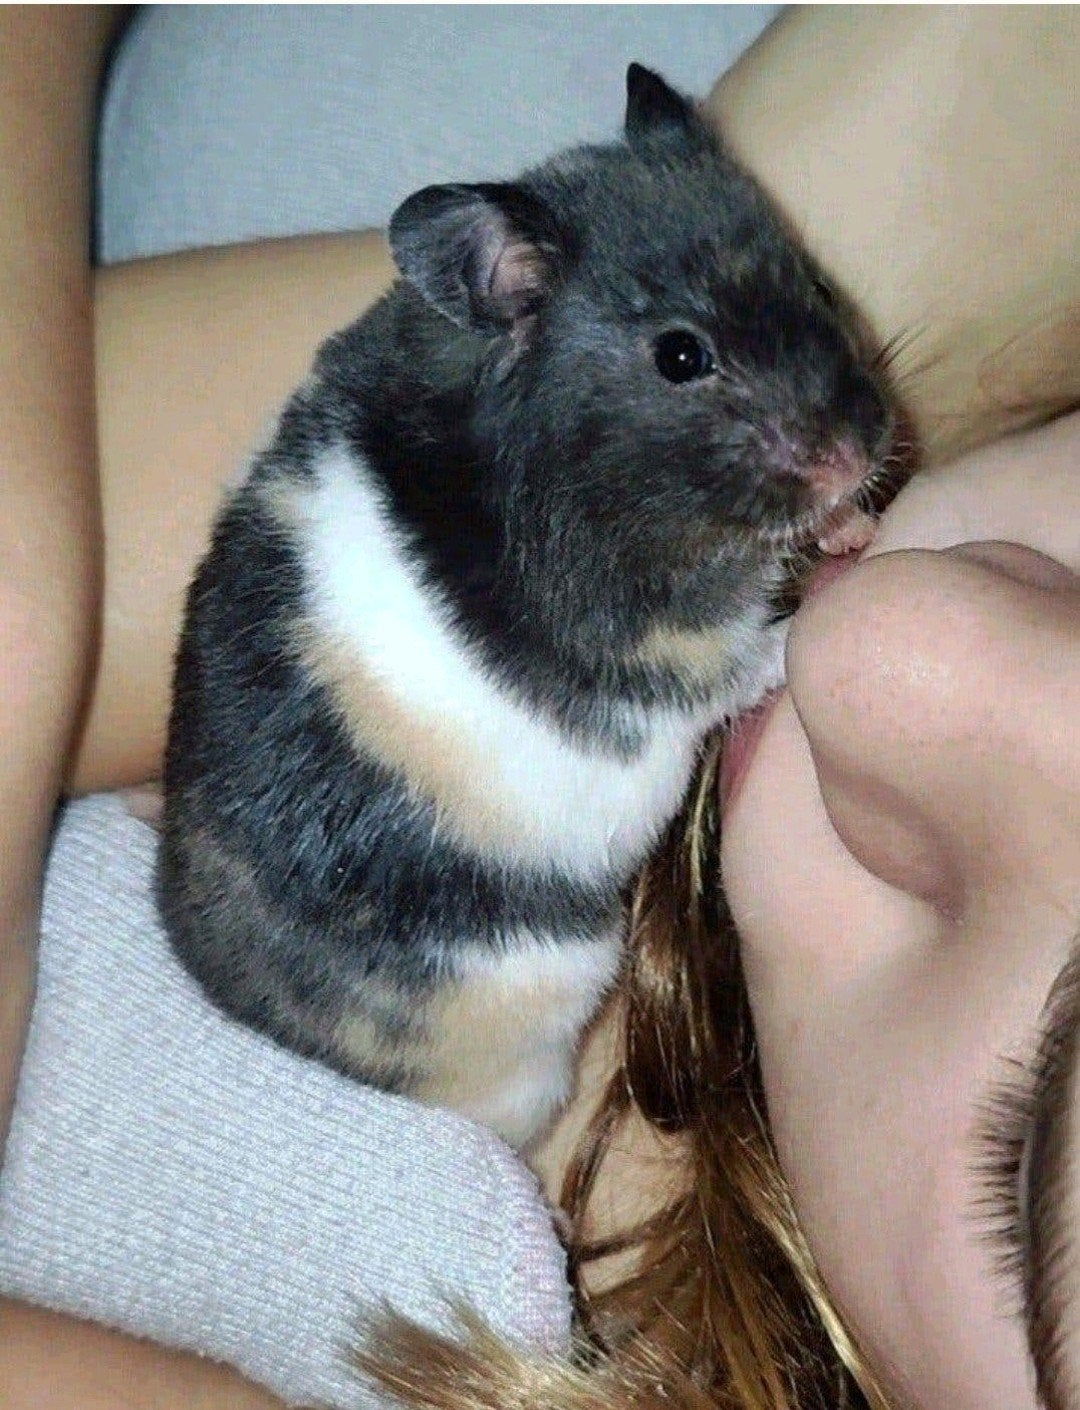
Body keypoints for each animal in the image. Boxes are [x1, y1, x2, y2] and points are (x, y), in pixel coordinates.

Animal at [158, 65, 894, 1150]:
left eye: (814, 282)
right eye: (682, 357)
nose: (859, 452)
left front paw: (849, 528)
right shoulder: (669, 653)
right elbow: (747, 659)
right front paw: (832, 582)